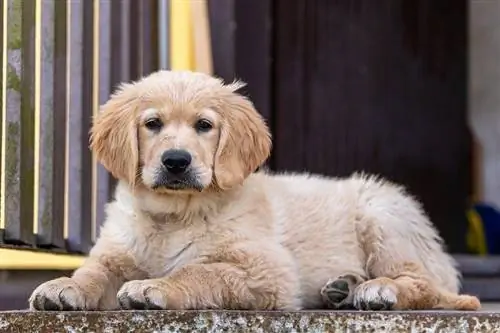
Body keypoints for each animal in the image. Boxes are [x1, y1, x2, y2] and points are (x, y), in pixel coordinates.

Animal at [28, 70, 480, 312]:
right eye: (152, 124)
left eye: (204, 126)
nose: (176, 161)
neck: (174, 214)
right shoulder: (115, 252)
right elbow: (93, 270)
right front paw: (64, 287)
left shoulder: (268, 271)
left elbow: (200, 270)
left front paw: (154, 287)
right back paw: (341, 288)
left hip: (382, 215)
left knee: (429, 287)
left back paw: (376, 290)